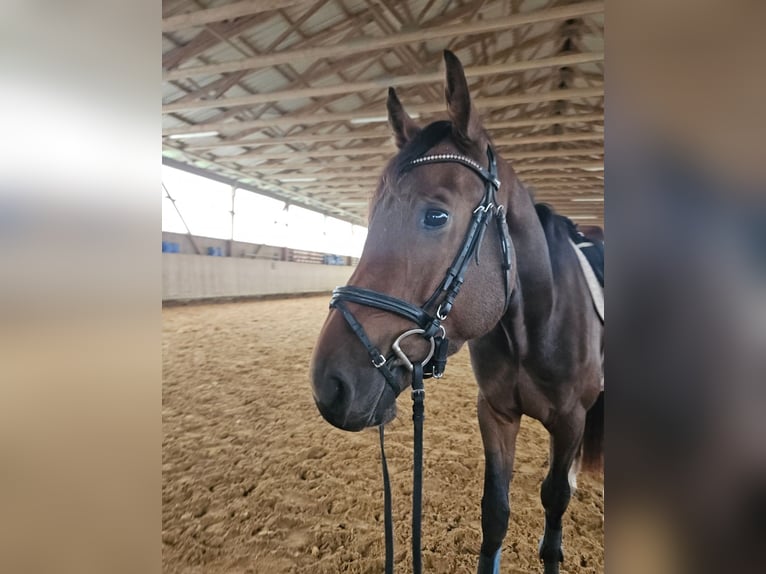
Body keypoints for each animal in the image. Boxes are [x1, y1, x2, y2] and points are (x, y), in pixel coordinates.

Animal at [308, 50, 604, 574]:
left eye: (436, 216)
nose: (330, 385)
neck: (535, 324)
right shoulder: (496, 413)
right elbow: (495, 512)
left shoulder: (571, 419)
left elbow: (552, 504)